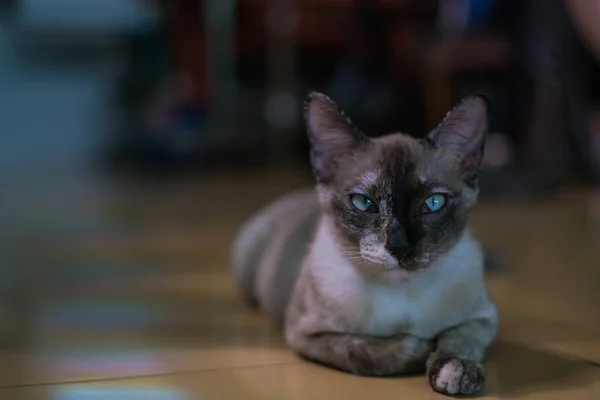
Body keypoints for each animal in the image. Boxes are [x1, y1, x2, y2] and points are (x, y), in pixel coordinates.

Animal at [232, 92, 500, 396]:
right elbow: (376, 349)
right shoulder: (308, 334)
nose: (399, 247)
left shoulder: (482, 318)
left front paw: (455, 371)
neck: (401, 291)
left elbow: (459, 339)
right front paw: (422, 349)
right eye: (363, 203)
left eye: (433, 203)